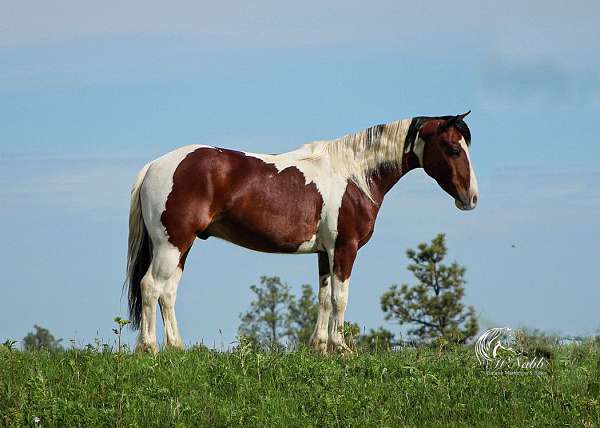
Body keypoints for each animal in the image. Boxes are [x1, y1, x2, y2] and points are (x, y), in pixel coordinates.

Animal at [125, 112, 478, 352]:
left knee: (168, 293)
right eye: (453, 149)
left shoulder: (325, 252)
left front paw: (320, 347)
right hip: (171, 245)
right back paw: (149, 349)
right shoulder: (345, 248)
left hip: (180, 247)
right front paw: (341, 349)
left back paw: (177, 348)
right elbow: (340, 298)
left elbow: (323, 297)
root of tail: (155, 165)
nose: (471, 198)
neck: (354, 175)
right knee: (151, 287)